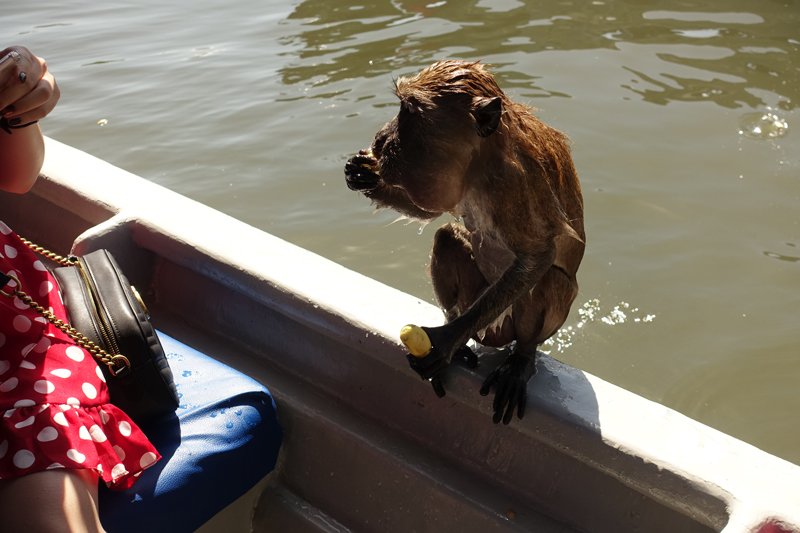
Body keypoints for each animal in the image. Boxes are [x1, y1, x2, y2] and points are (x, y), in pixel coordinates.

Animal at [340, 59, 584, 424]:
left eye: (407, 110)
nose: (381, 138)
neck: (483, 158)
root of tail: (492, 336)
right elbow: (429, 213)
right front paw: (364, 174)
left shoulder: (512, 183)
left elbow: (539, 255)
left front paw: (446, 342)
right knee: (447, 238)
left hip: (500, 321)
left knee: (550, 281)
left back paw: (519, 358)